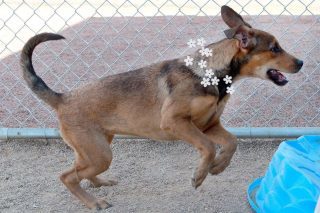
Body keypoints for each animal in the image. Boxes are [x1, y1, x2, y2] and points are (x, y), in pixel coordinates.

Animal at [20, 5, 302, 210]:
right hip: (100, 152)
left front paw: (219, 167)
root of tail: (62, 97)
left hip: (96, 148)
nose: (300, 63)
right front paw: (200, 175)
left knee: (77, 171)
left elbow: (232, 142)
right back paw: (94, 203)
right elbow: (209, 147)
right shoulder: (177, 122)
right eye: (275, 48)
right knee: (66, 176)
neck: (212, 73)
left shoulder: (209, 125)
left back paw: (101, 183)